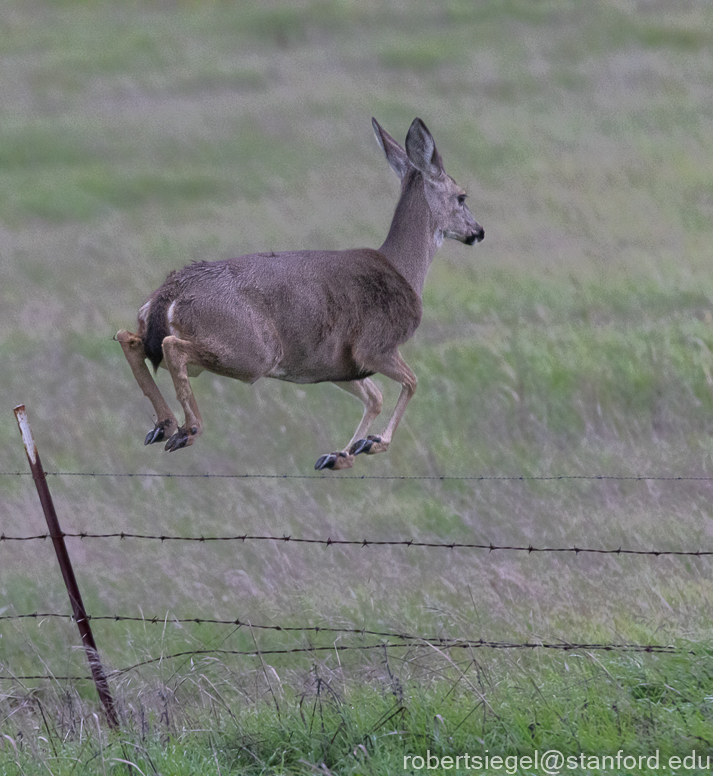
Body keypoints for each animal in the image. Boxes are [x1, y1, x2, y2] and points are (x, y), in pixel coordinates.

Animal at [117, 117, 484, 470]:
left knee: (130, 338)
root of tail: (171, 291)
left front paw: (340, 456)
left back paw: (164, 426)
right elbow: (411, 382)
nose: (478, 231)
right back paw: (187, 429)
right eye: (462, 196)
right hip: (254, 351)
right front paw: (373, 443)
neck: (404, 270)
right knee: (171, 346)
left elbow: (375, 396)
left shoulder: (337, 365)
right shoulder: (375, 346)